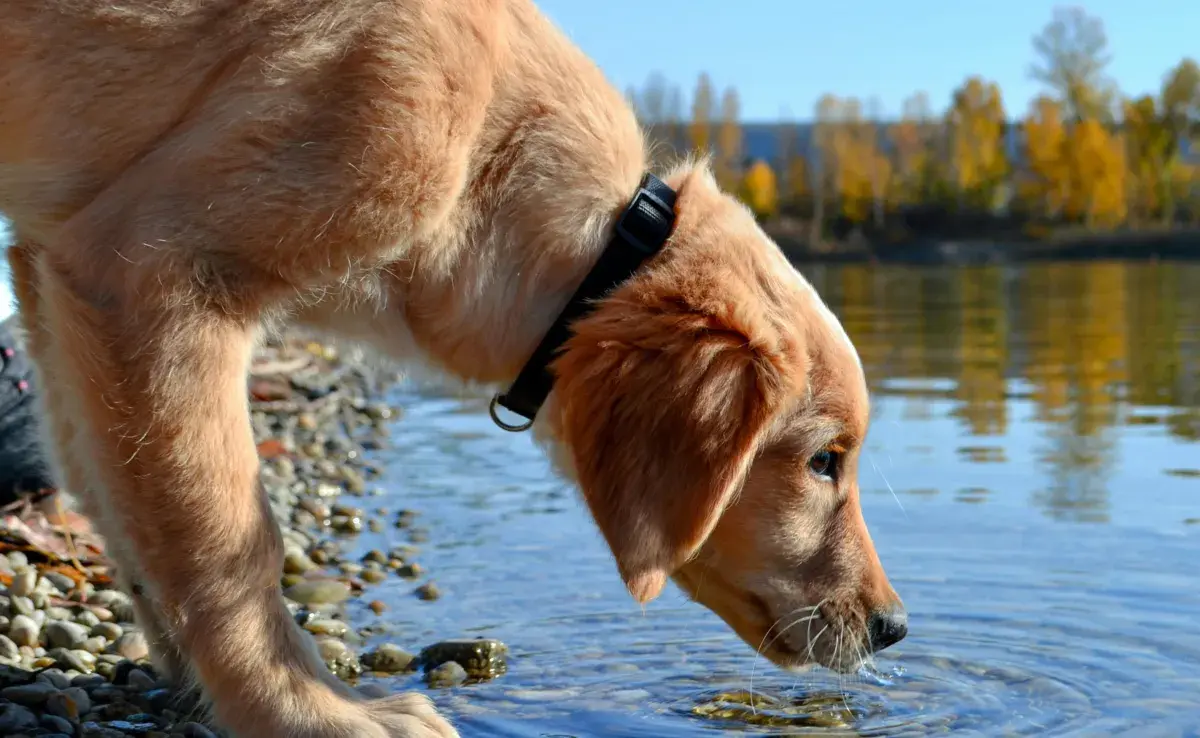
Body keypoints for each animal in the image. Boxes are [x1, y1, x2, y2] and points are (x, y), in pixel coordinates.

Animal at [0, 1, 902, 738]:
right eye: (824, 460)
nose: (893, 627)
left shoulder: (58, 271)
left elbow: (119, 495)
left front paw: (191, 677)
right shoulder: (153, 272)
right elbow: (226, 538)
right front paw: (306, 711)